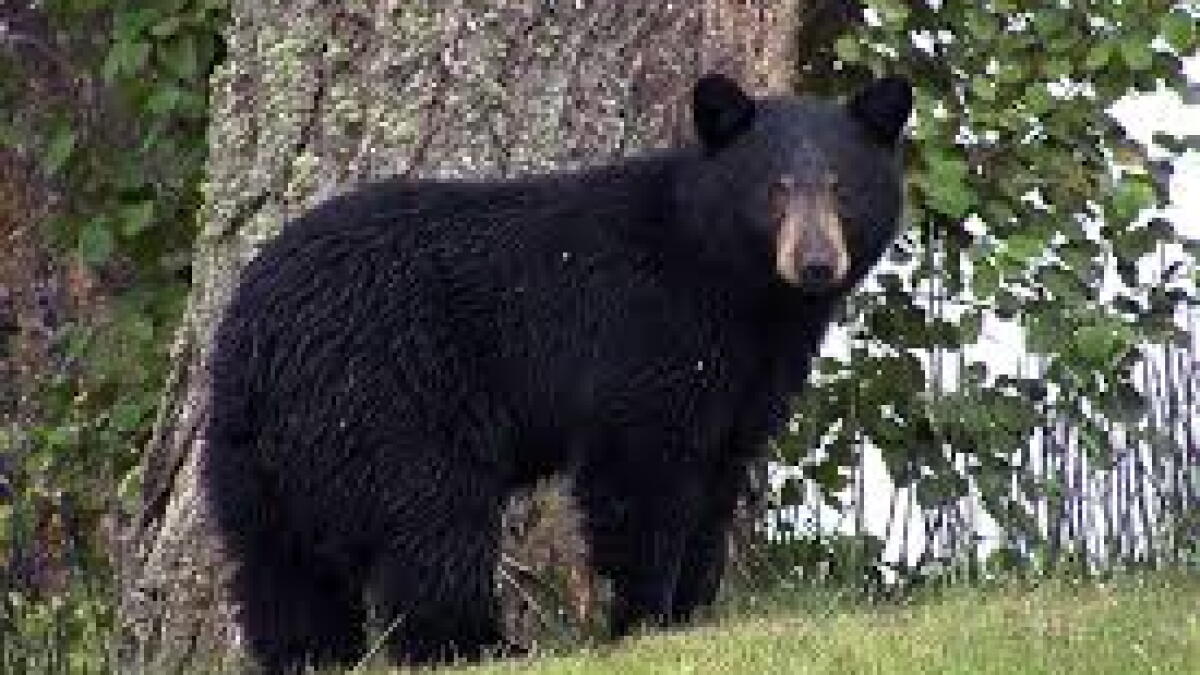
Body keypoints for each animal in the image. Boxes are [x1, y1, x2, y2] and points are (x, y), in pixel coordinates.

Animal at [203, 72, 912, 673]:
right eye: (774, 189)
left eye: (844, 188)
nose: (816, 263)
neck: (739, 289)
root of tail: (259, 331)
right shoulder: (647, 334)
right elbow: (642, 472)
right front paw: (644, 621)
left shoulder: (749, 372)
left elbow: (719, 474)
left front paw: (693, 612)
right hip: (389, 394)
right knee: (432, 519)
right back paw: (480, 644)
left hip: (254, 451)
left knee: (278, 566)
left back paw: (310, 655)